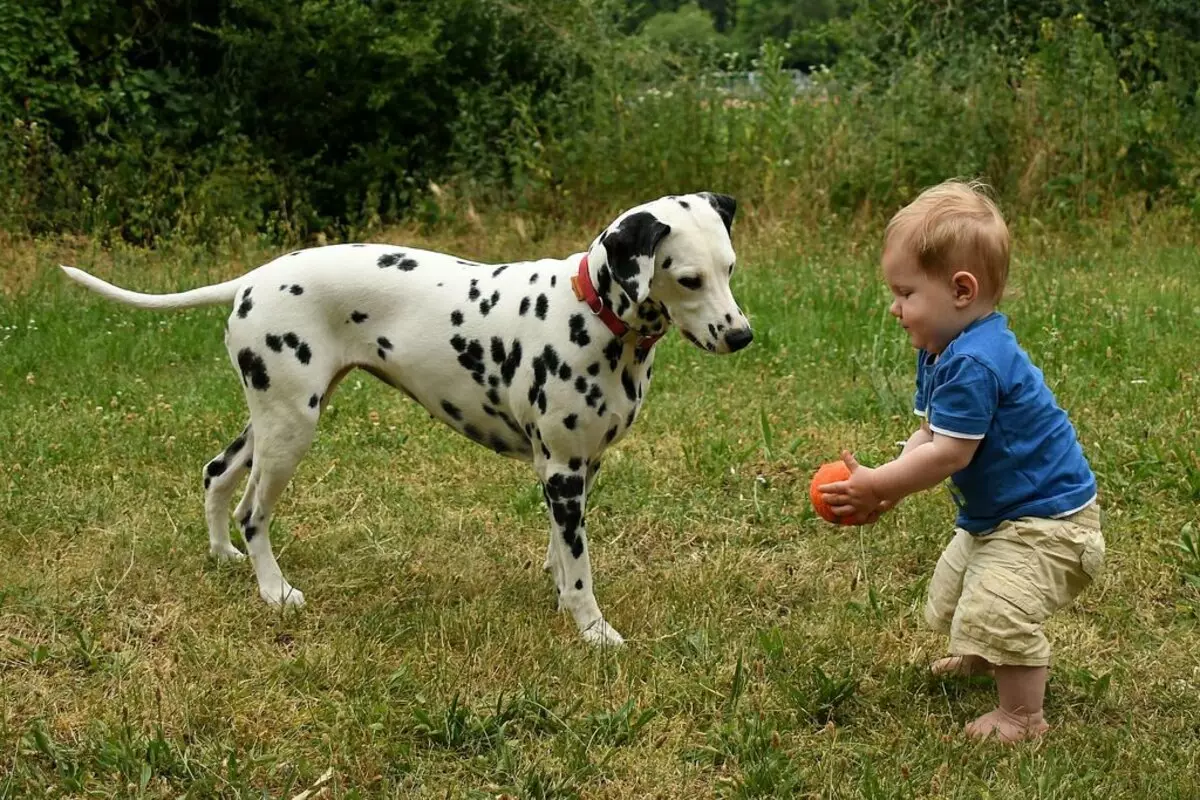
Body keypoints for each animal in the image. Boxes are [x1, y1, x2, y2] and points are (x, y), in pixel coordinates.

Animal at [63, 194, 748, 652]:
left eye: (731, 268)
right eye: (688, 278)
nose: (742, 335)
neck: (590, 313)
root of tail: (255, 278)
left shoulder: (578, 469)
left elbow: (560, 554)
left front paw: (560, 598)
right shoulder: (561, 473)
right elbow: (580, 569)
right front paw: (593, 630)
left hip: (272, 420)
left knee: (215, 475)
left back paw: (221, 555)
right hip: (290, 433)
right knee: (251, 512)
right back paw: (274, 592)